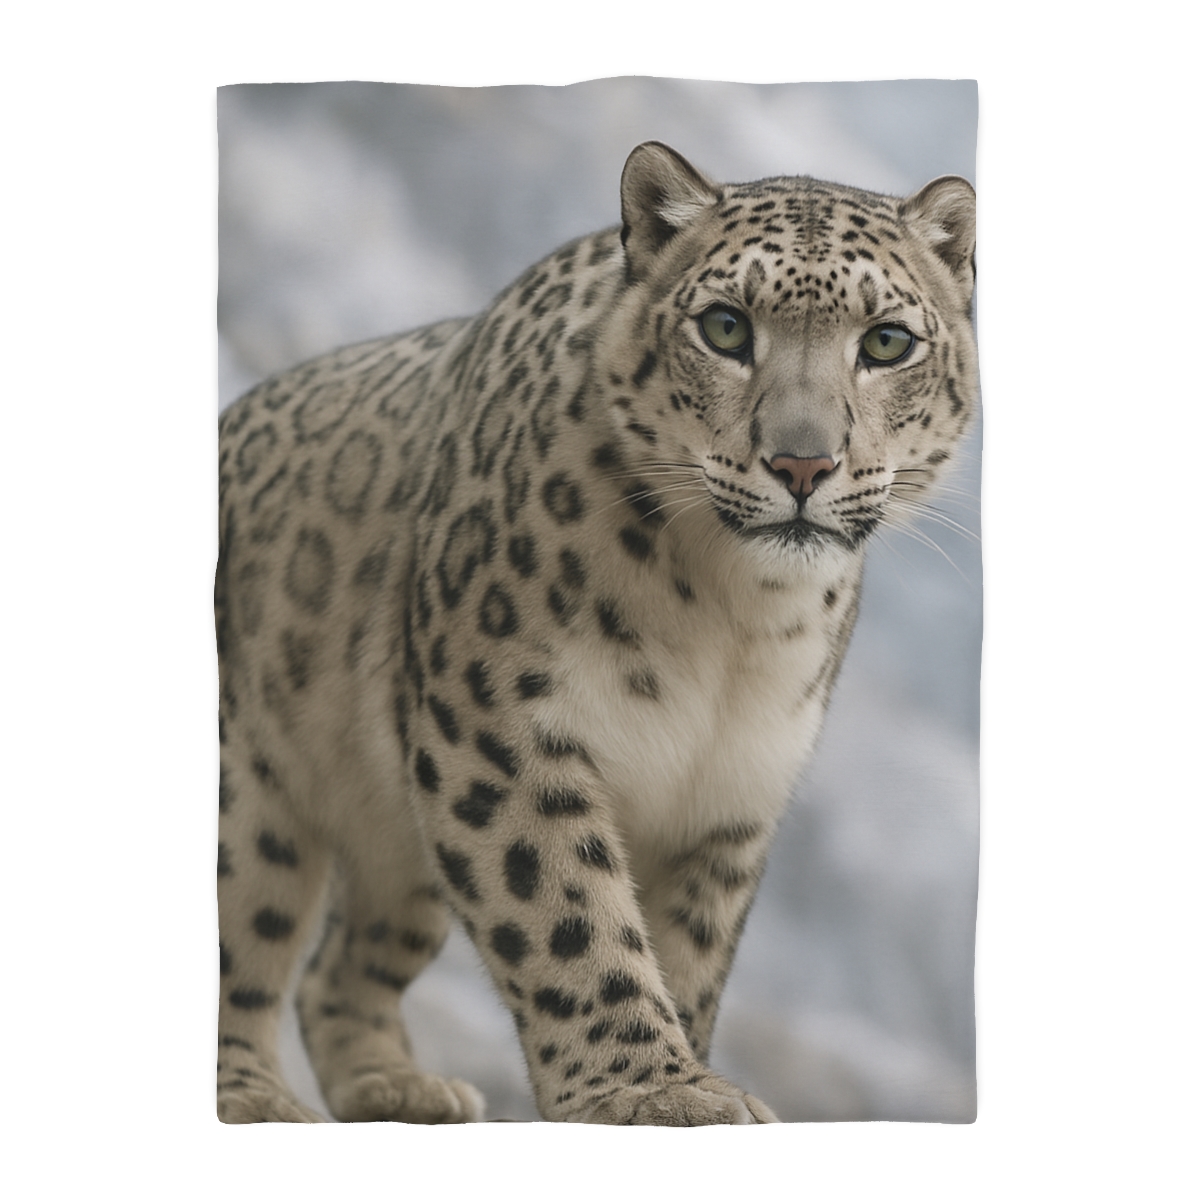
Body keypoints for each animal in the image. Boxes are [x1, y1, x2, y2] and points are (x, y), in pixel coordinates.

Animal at [215, 141, 978, 1125]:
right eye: (725, 327)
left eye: (886, 341)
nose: (803, 464)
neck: (734, 619)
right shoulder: (500, 730)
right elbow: (570, 915)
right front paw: (658, 1092)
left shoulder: (730, 795)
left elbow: (684, 951)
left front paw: (679, 1070)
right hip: (244, 804)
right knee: (241, 942)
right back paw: (257, 1100)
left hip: (396, 848)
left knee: (339, 967)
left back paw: (401, 1088)